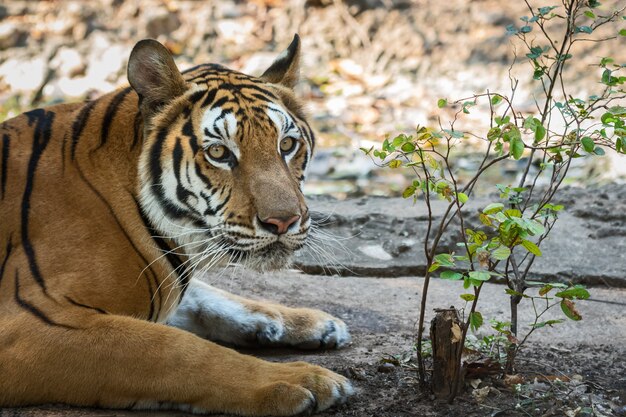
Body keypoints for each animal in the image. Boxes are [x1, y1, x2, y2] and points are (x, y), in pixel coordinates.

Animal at [0, 34, 352, 414]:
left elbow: (214, 299)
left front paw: (313, 322)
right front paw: (301, 380)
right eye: (219, 153)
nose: (284, 221)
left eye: (287, 144)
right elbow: (179, 350)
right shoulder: (28, 323)